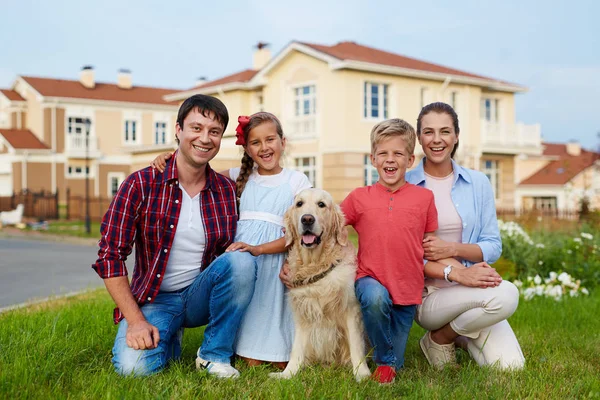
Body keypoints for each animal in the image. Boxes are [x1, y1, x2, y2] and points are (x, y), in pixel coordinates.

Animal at [268, 188, 370, 382]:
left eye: (321, 204)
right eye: (299, 204)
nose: (307, 219)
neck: (315, 264)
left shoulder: (351, 308)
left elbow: (356, 345)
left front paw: (362, 374)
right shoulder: (302, 311)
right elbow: (296, 348)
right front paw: (288, 373)